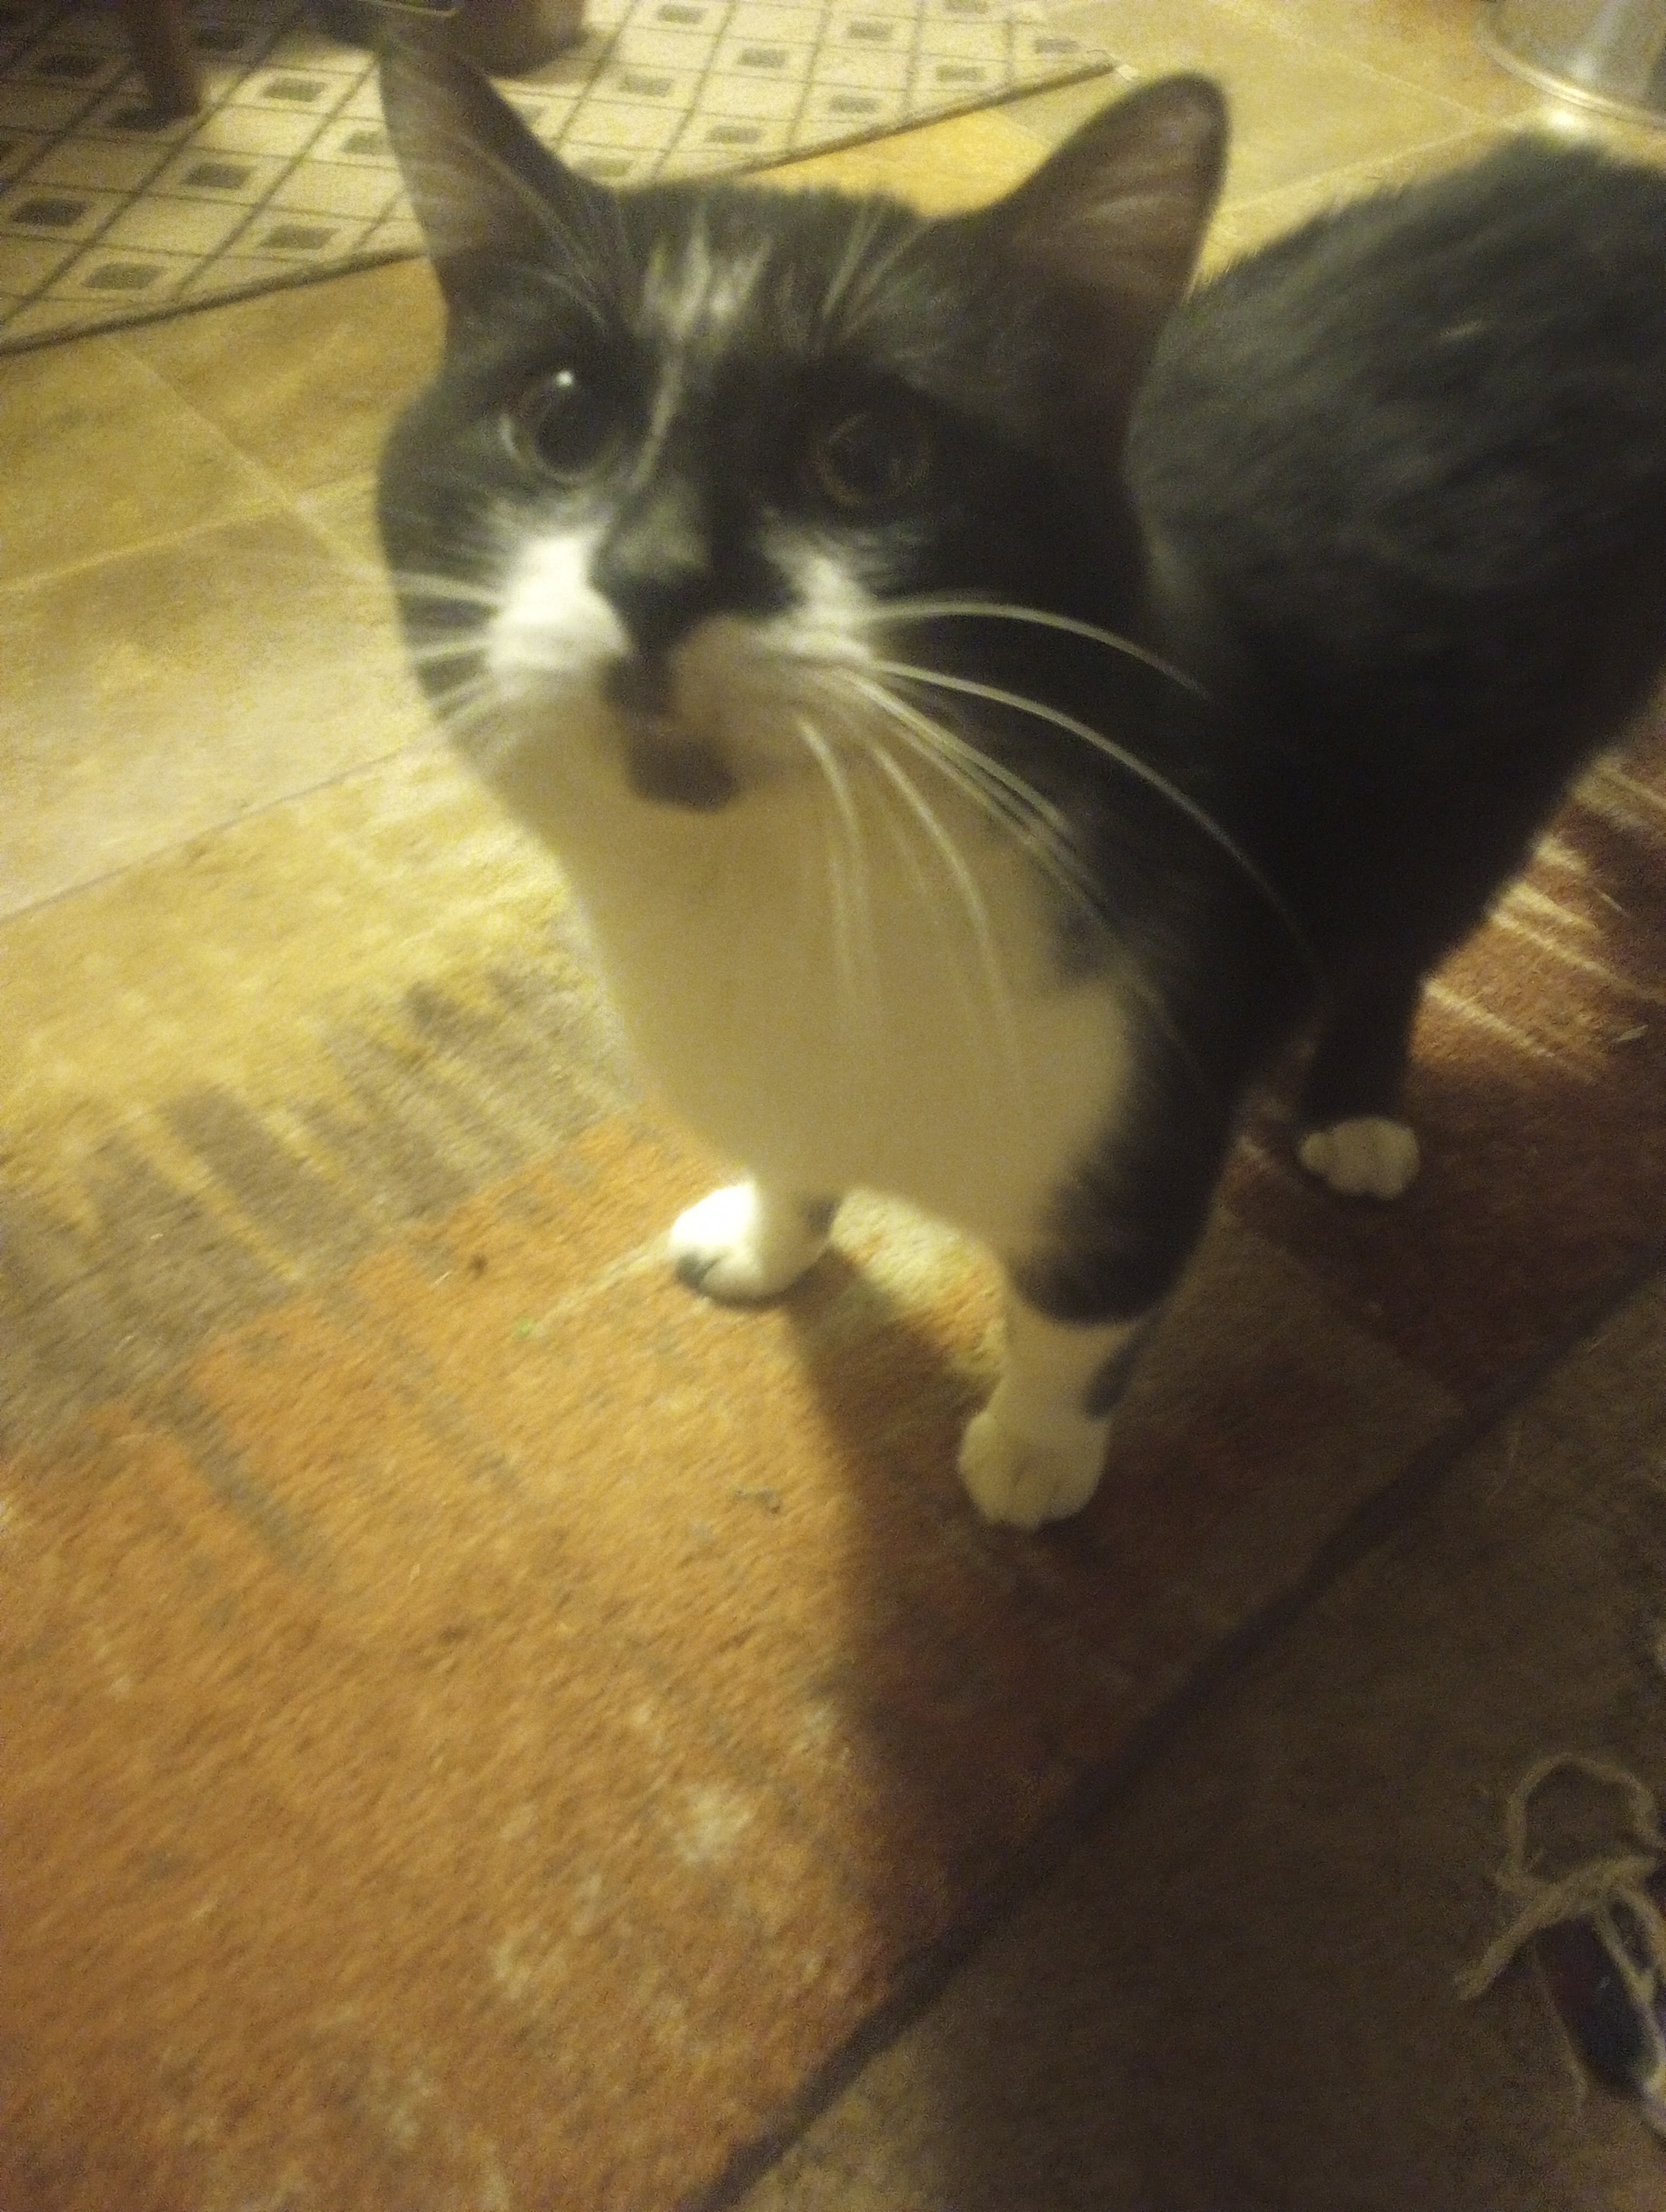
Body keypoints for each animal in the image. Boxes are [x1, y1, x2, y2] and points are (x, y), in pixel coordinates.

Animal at [375, 36, 1666, 1529]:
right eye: (559, 421)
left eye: (870, 457)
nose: (652, 571)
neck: (782, 898)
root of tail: (1602, 178)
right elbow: (794, 1157)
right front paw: (764, 1233)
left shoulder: (1149, 1100)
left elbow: (1082, 1308)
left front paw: (1034, 1452)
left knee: (1407, 921)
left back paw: (1352, 1108)